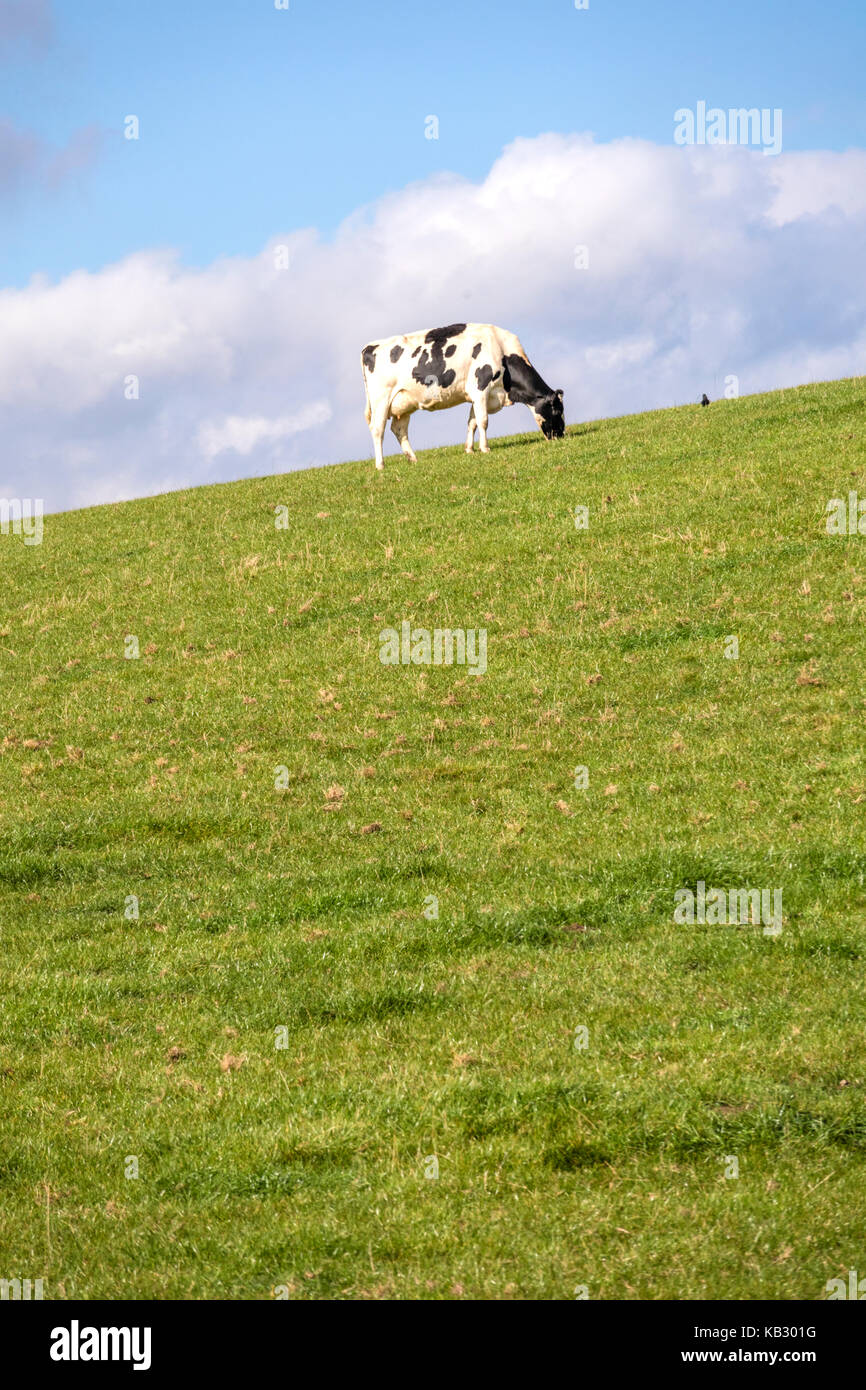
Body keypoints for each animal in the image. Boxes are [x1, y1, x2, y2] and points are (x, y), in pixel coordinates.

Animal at [361, 322, 564, 470]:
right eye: (557, 411)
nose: (561, 436)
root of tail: (369, 347)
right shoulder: (481, 388)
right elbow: (483, 421)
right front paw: (485, 448)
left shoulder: (477, 396)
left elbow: (472, 422)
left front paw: (470, 449)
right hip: (381, 399)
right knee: (377, 429)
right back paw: (380, 465)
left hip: (404, 404)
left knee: (399, 429)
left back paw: (413, 459)